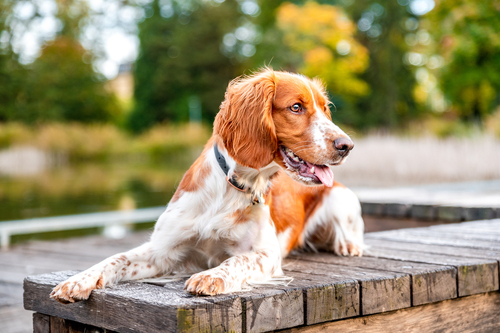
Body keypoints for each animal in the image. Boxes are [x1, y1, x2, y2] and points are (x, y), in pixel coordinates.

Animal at [49, 68, 364, 300]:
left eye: (325, 110)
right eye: (296, 107)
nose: (347, 145)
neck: (231, 188)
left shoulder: (266, 254)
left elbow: (235, 261)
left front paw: (211, 276)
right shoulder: (163, 251)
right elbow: (116, 257)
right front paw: (78, 280)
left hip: (342, 199)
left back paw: (348, 245)